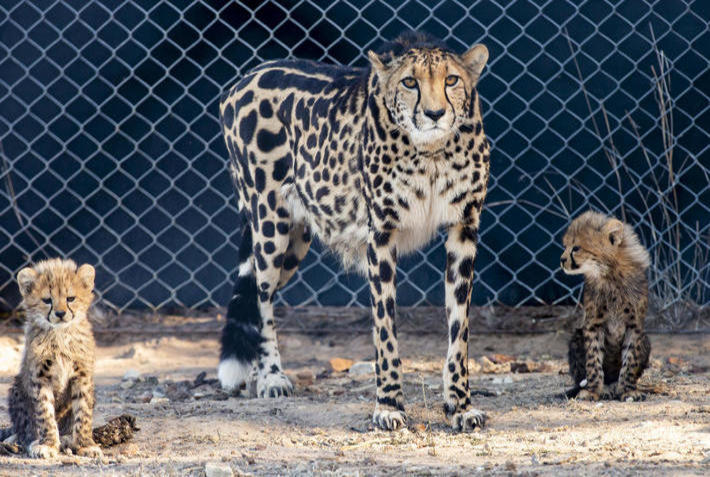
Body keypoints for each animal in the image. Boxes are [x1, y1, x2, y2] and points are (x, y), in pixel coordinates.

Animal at [220, 31, 492, 430]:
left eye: (452, 80)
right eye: (410, 83)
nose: (434, 114)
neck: (431, 152)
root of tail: (245, 76)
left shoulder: (463, 230)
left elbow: (459, 330)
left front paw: (460, 405)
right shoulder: (380, 234)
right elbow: (385, 330)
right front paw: (389, 405)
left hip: (296, 239)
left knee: (256, 292)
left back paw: (256, 375)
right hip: (270, 223)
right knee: (262, 294)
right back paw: (271, 377)